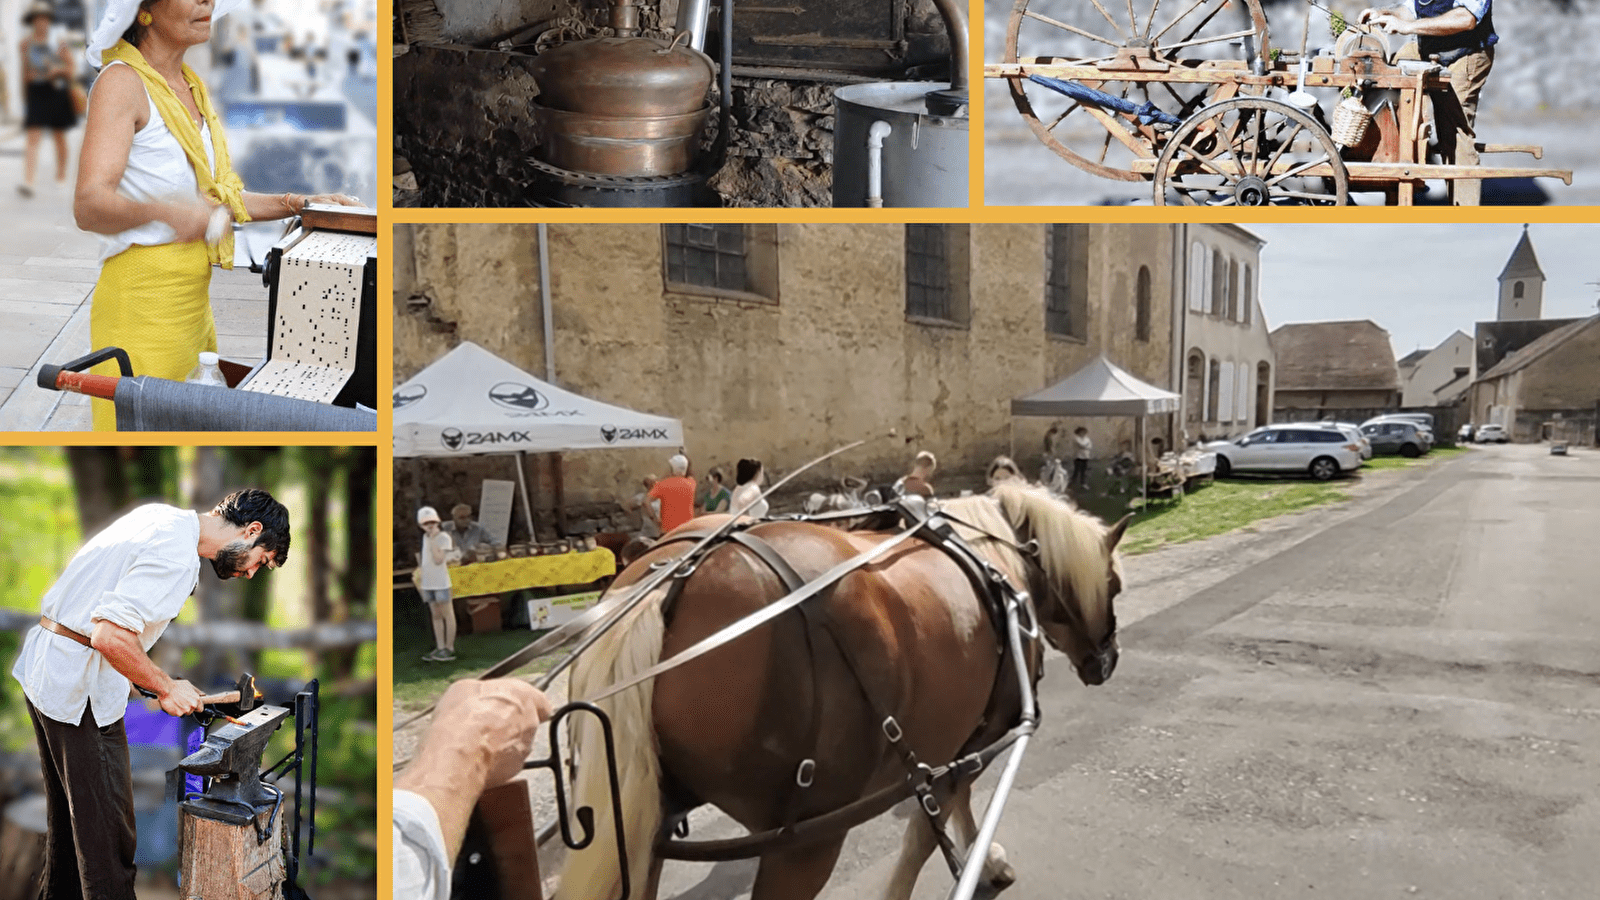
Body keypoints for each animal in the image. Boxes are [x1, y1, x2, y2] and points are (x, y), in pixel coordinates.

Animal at [556, 483, 1132, 896]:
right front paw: (977, 860)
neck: (998, 554)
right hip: (807, 842)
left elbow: (957, 808)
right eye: (1115, 583)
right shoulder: (975, 741)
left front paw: (984, 860)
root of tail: (673, 579)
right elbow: (928, 832)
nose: (1106, 662)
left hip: (642, 827)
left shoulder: (956, 743)